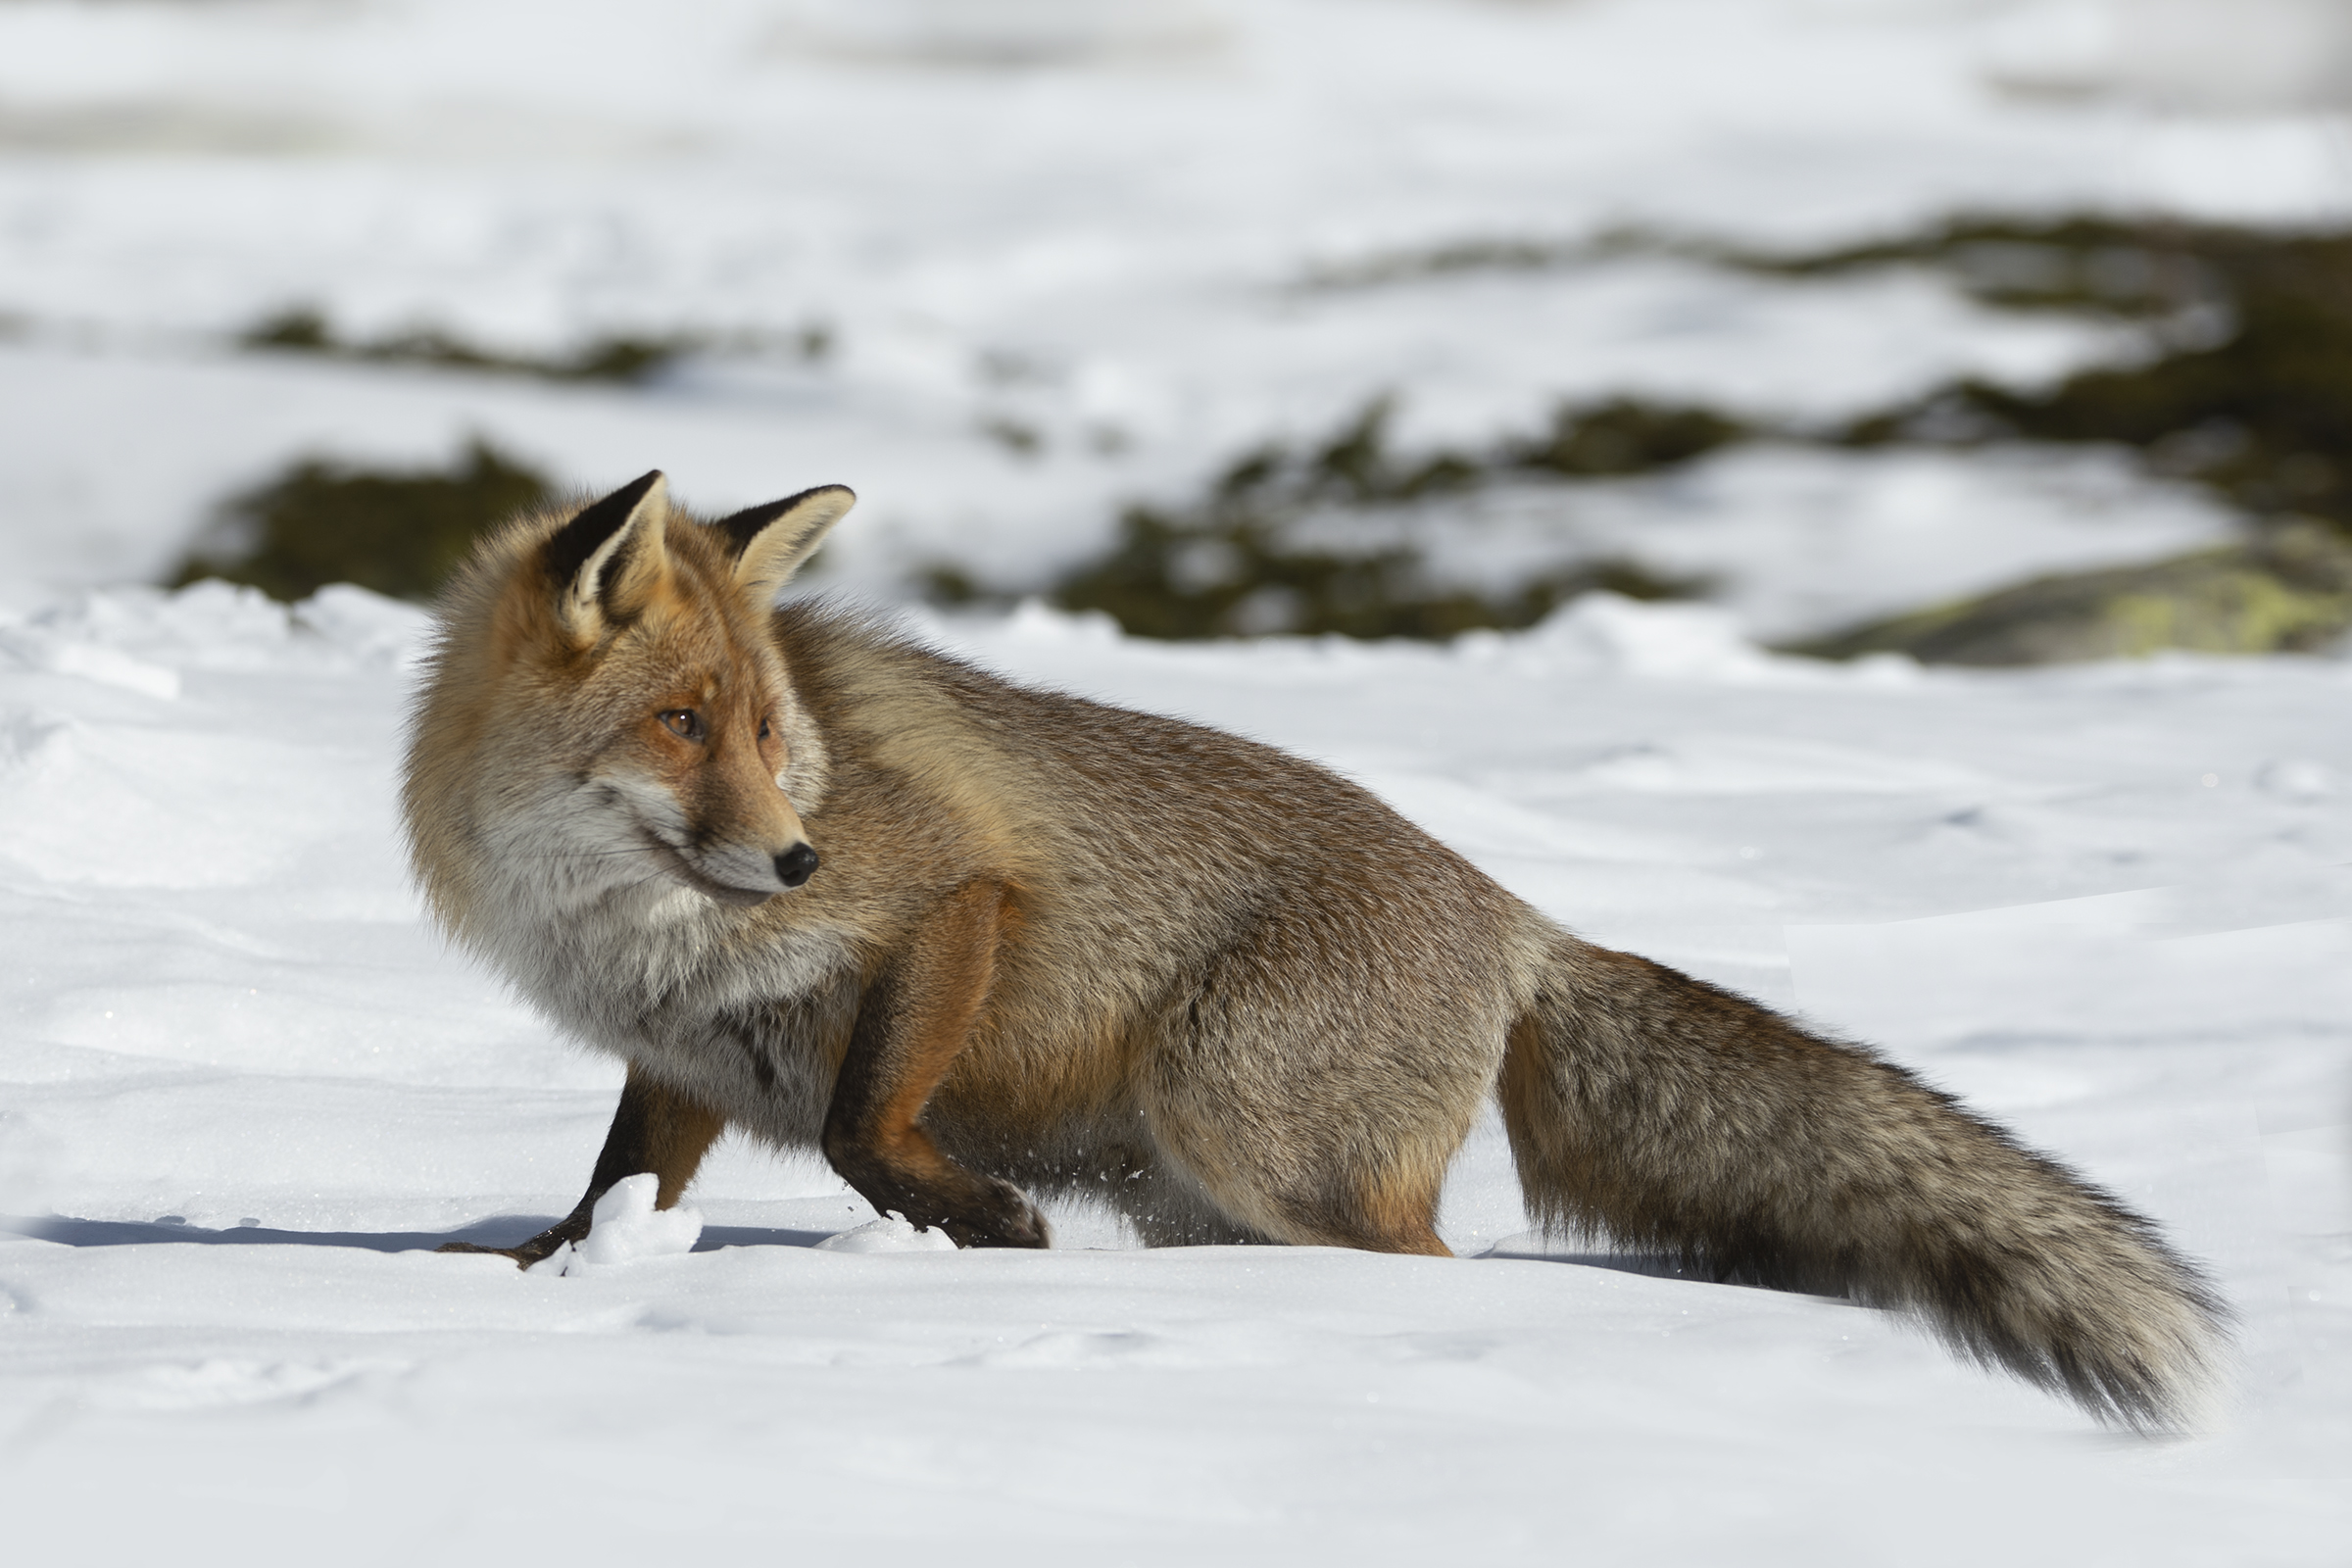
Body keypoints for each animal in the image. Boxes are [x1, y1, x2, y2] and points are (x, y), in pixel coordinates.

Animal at [403, 469, 2229, 1431]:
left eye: (774, 736)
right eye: (684, 723)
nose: (793, 856)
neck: (623, 925)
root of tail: (1516, 918)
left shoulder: (950, 896)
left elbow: (864, 1128)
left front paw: (983, 1231)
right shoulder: (677, 1055)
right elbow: (616, 1190)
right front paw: (533, 1279)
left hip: (1256, 1144)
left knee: (1425, 1271)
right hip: (1208, 1189)